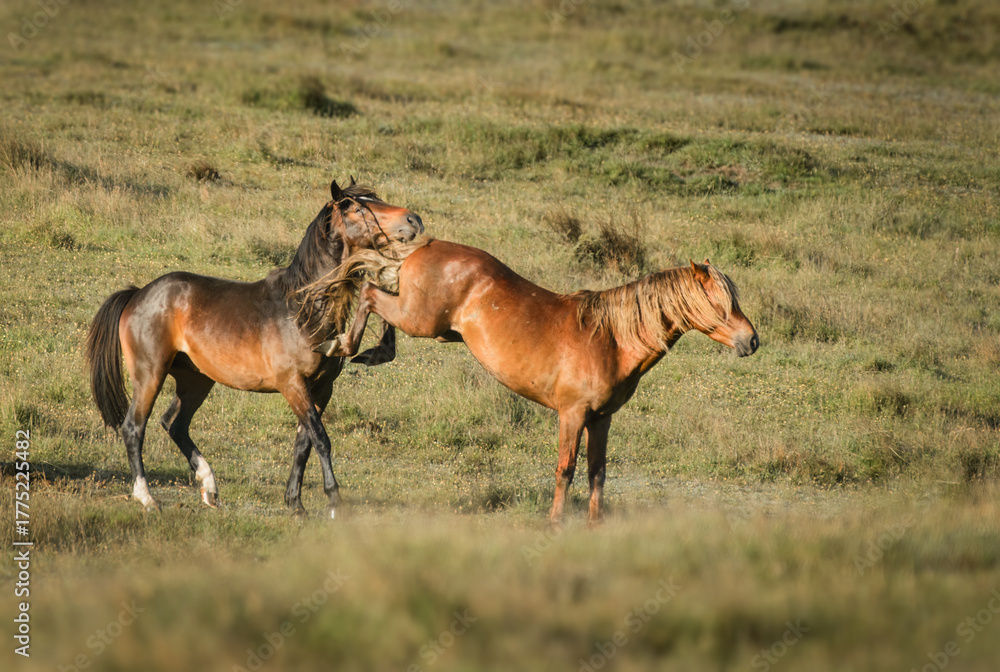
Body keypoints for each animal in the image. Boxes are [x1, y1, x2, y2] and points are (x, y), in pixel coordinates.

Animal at [85, 179, 424, 518]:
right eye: (355, 208)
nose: (414, 220)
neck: (302, 308)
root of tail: (137, 294)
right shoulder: (292, 384)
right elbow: (321, 439)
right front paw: (333, 502)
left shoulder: (322, 388)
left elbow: (303, 444)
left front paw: (295, 503)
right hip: (150, 374)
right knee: (134, 427)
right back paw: (147, 498)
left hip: (196, 379)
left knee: (175, 424)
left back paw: (209, 487)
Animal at [316, 239, 759, 525]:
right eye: (720, 303)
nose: (751, 340)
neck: (611, 339)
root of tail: (426, 246)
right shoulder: (572, 414)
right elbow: (566, 469)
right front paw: (555, 522)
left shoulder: (601, 419)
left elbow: (597, 472)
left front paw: (596, 525)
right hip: (419, 319)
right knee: (370, 292)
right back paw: (345, 344)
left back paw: (372, 350)